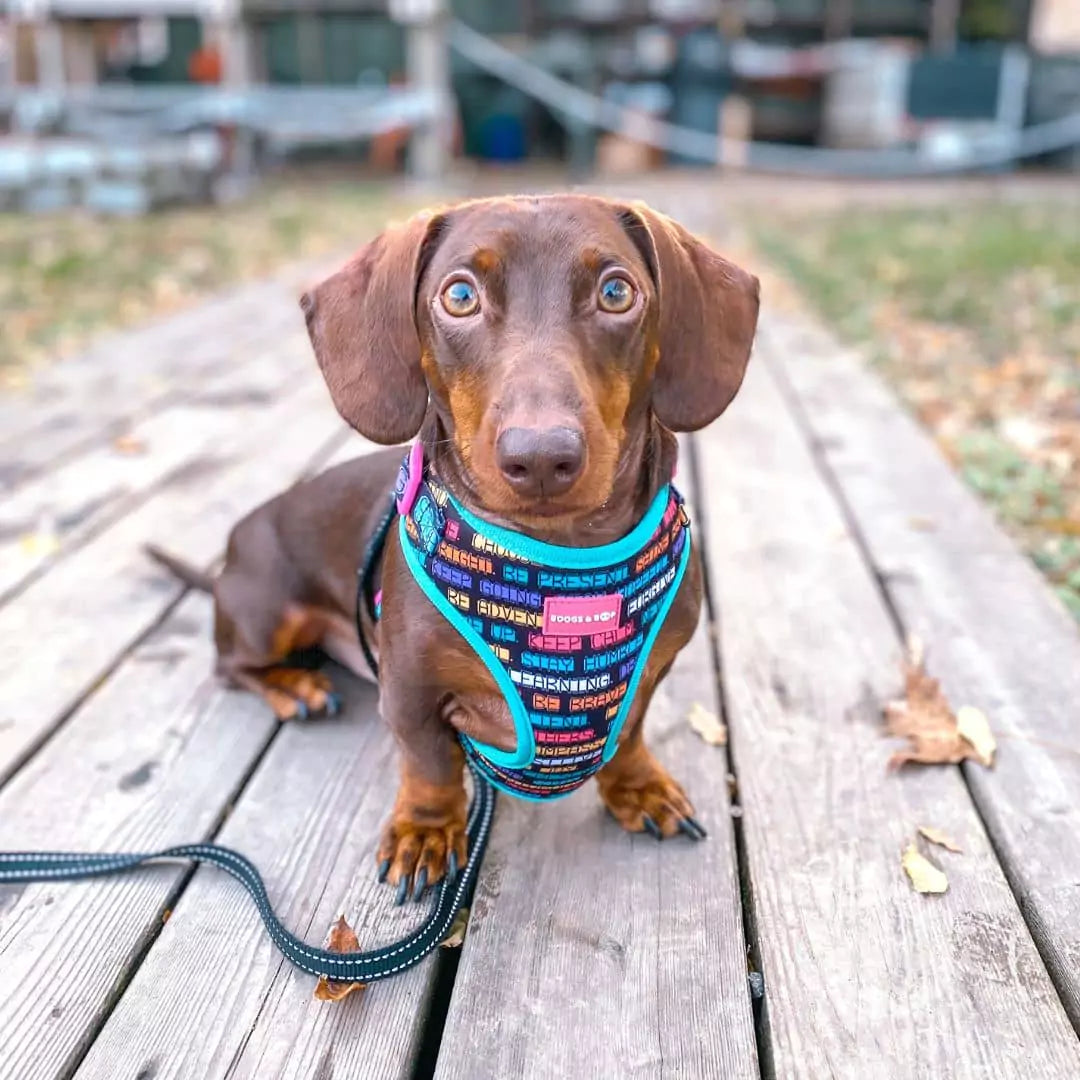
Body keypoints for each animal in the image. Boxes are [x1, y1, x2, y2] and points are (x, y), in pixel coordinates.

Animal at [152, 196, 760, 902]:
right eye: (460, 295)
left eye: (616, 292)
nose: (541, 457)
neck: (560, 561)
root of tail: (230, 553)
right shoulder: (409, 691)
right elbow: (431, 763)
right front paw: (425, 829)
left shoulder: (653, 670)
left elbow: (630, 733)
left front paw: (639, 787)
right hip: (265, 614)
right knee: (230, 667)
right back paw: (294, 686)